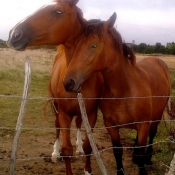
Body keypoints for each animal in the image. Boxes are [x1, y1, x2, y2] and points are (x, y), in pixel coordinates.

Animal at [6, 0, 103, 174]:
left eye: (58, 11)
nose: (14, 34)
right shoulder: (64, 114)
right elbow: (67, 149)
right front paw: (60, 152)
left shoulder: (92, 114)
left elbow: (88, 146)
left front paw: (87, 168)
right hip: (55, 106)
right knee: (57, 127)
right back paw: (55, 153)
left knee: (78, 125)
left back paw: (78, 147)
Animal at [63, 12, 171, 175]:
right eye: (77, 45)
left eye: (94, 45)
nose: (68, 82)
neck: (124, 91)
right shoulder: (111, 126)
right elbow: (118, 151)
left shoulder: (143, 125)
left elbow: (140, 153)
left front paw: (143, 163)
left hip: (157, 116)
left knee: (152, 135)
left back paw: (148, 160)